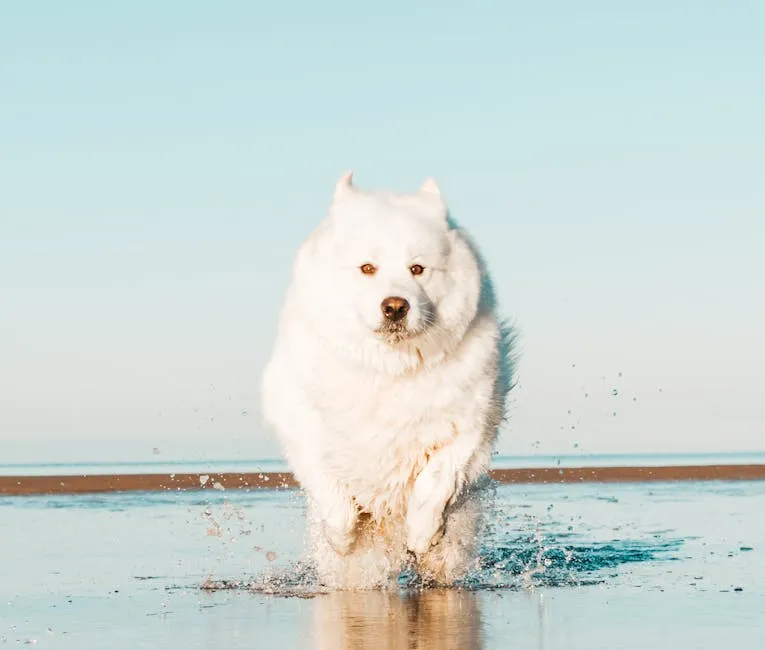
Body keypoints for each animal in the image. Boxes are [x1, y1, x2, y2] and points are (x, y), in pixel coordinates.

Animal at [260, 172, 516, 588]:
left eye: (417, 269)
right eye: (367, 268)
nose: (395, 306)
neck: (391, 369)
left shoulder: (470, 423)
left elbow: (436, 478)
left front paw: (422, 532)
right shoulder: (297, 416)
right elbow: (327, 484)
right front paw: (343, 536)